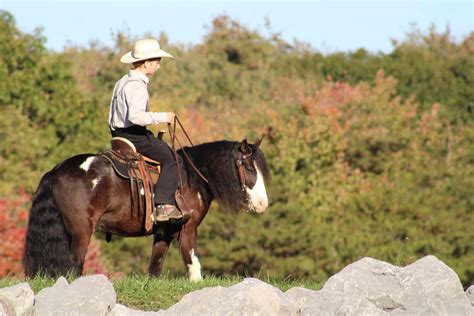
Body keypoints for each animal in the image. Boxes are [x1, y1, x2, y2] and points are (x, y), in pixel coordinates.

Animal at [22, 138, 270, 282]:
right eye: (249, 167)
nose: (262, 204)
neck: (191, 176)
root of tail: (57, 169)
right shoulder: (188, 228)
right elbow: (192, 263)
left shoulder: (164, 232)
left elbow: (155, 266)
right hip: (81, 231)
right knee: (74, 264)